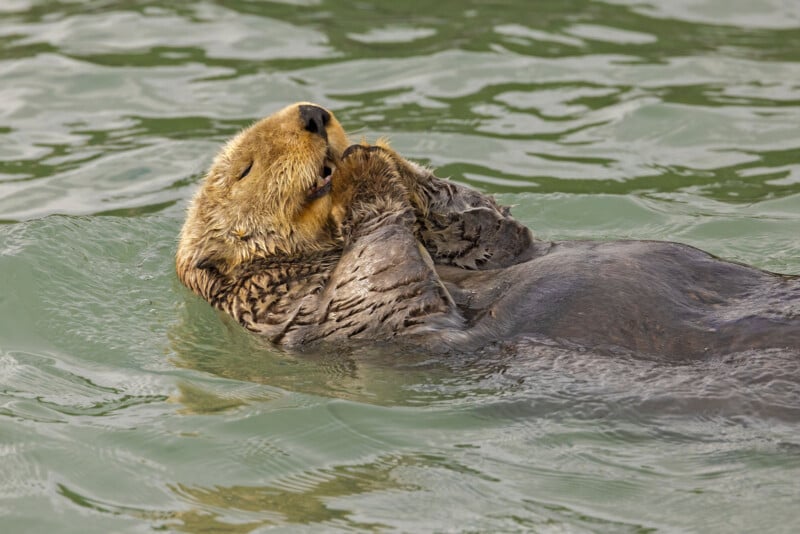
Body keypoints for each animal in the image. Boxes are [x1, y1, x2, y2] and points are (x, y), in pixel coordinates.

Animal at [178, 102, 800, 358]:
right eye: (245, 168)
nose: (313, 114)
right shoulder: (291, 307)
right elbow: (383, 285)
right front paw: (363, 174)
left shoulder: (494, 247)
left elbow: (493, 229)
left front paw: (376, 152)